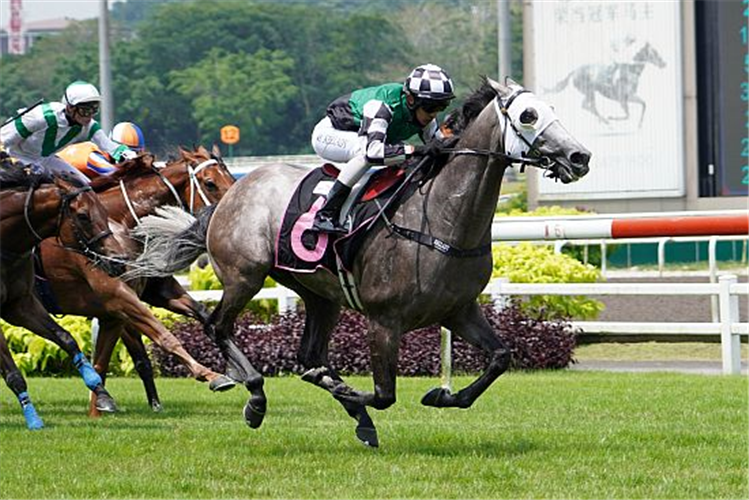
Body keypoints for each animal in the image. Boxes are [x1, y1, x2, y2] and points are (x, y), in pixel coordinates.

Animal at [0, 156, 125, 430]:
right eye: (83, 215)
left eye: (104, 212)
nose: (119, 261)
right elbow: (13, 373)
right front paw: (33, 419)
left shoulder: (20, 305)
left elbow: (66, 338)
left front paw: (101, 391)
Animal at [35, 146, 237, 416]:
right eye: (210, 183)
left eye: (232, 178)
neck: (118, 223)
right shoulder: (119, 299)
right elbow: (158, 340)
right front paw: (212, 376)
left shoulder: (148, 294)